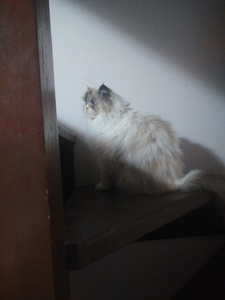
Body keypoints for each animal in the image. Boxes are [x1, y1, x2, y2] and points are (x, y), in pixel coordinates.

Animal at [83, 83, 225, 196]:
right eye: (85, 102)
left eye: (92, 102)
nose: (85, 107)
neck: (111, 117)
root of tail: (174, 182)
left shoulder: (105, 158)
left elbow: (105, 177)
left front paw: (102, 187)